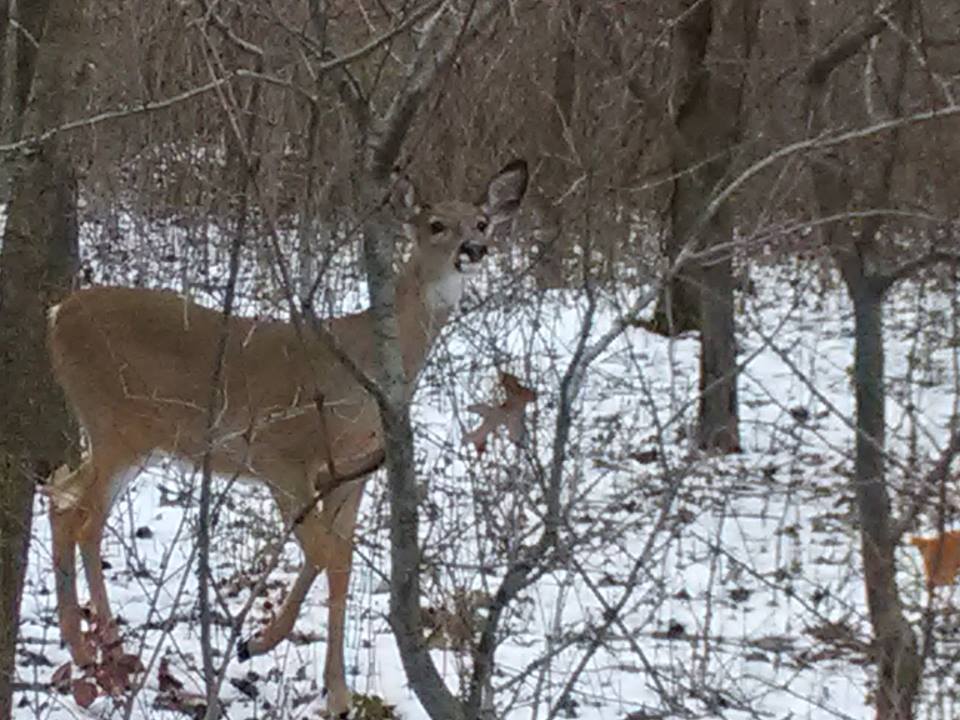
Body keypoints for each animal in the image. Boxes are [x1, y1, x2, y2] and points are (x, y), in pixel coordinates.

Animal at [46, 158, 528, 717]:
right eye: (435, 225)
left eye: (482, 222)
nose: (474, 249)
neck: (368, 374)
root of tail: (57, 315)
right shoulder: (281, 457)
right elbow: (330, 557)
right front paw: (328, 687)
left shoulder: (355, 473)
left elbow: (335, 556)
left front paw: (263, 645)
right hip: (116, 423)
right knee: (80, 516)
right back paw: (97, 653)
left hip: (124, 437)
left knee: (65, 498)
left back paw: (98, 647)